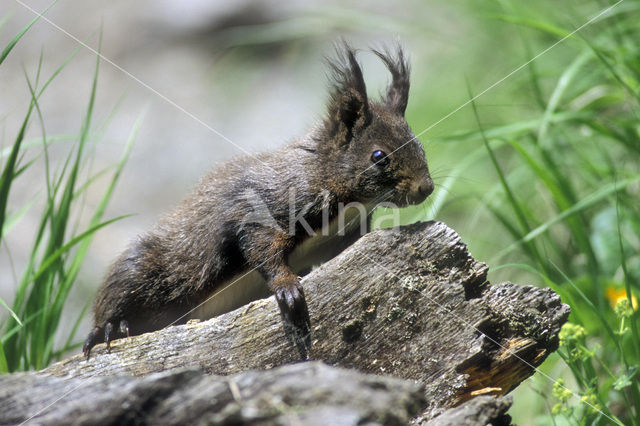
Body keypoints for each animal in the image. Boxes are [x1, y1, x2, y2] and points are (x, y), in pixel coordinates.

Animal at [82, 42, 432, 360]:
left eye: (420, 145)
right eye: (378, 156)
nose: (426, 188)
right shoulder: (267, 205)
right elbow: (261, 246)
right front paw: (288, 288)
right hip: (143, 269)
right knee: (118, 294)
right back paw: (109, 328)